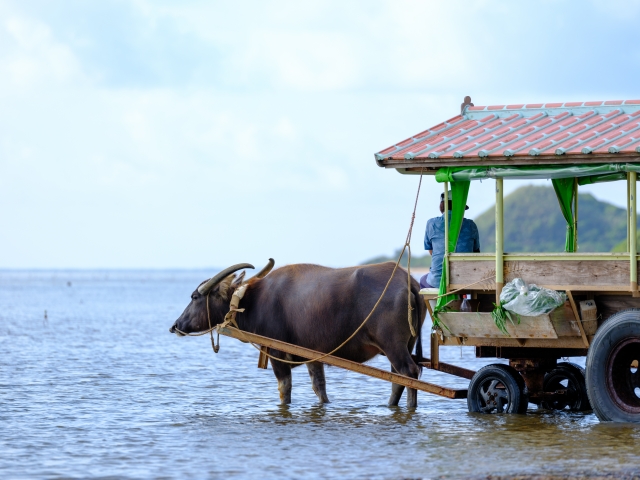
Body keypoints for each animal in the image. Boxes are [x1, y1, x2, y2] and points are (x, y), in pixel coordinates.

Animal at [172, 260, 428, 406]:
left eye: (195, 297)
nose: (175, 325)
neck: (253, 300)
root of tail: (407, 281)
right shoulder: (313, 356)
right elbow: (320, 388)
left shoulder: (277, 354)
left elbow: (284, 389)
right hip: (405, 345)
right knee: (398, 379)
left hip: (393, 345)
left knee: (409, 373)